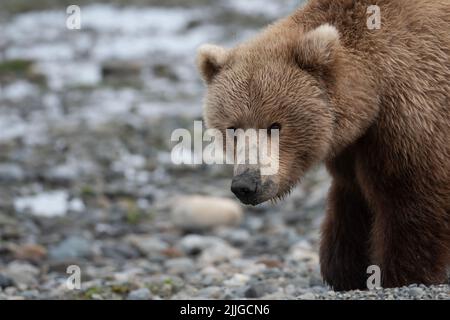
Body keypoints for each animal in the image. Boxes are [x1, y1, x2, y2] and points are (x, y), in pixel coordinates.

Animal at [196, 0, 450, 290]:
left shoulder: (414, 113)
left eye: (275, 125)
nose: (246, 184)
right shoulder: (353, 147)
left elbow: (410, 195)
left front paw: (403, 274)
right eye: (233, 128)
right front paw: (346, 270)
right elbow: (353, 200)